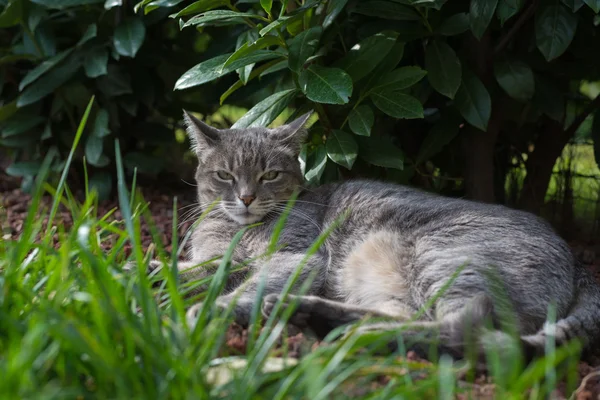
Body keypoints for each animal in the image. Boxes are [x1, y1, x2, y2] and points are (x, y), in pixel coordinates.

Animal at [162, 110, 600, 360]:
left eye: (269, 174)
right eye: (225, 175)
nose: (247, 197)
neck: (233, 228)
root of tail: (581, 267)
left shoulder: (294, 257)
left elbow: (247, 286)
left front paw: (212, 310)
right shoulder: (214, 259)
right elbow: (186, 269)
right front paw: (155, 276)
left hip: (446, 259)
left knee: (460, 327)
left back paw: (344, 331)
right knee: (405, 316)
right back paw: (320, 318)